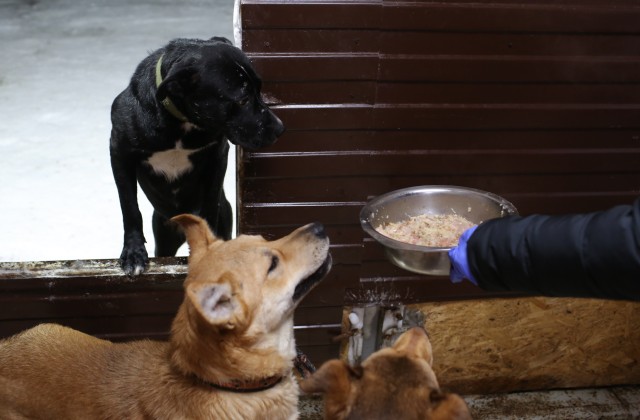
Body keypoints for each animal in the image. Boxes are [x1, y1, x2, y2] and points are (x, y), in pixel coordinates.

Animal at [109, 37, 284, 276]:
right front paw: (133, 252)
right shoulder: (119, 152)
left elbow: (210, 201)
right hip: (164, 237)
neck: (180, 123)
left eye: (259, 88)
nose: (280, 128)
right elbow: (129, 207)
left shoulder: (218, 155)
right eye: (242, 100)